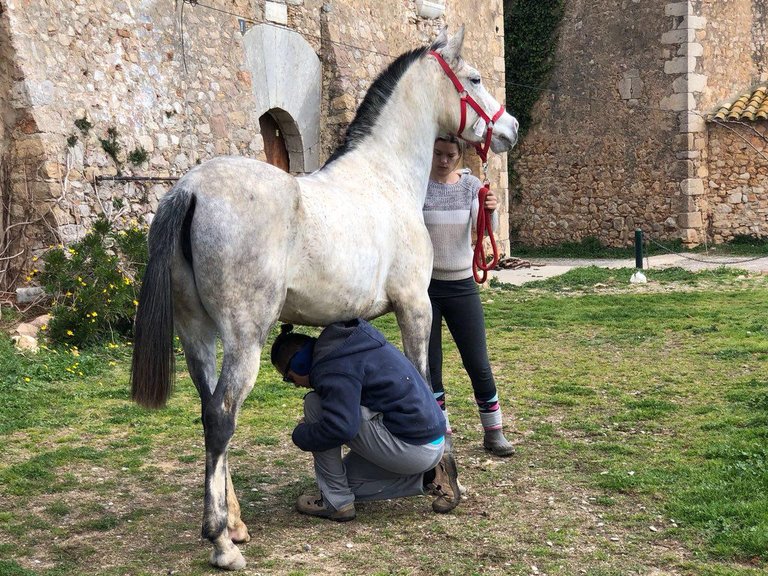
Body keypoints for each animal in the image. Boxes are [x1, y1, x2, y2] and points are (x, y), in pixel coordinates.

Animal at [132, 27, 520, 572]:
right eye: (476, 78)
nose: (510, 128)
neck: (385, 176)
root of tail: (189, 190)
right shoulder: (415, 307)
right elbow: (428, 384)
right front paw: (444, 482)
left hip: (196, 335)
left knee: (209, 411)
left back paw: (235, 524)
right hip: (243, 339)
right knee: (222, 415)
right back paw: (221, 543)